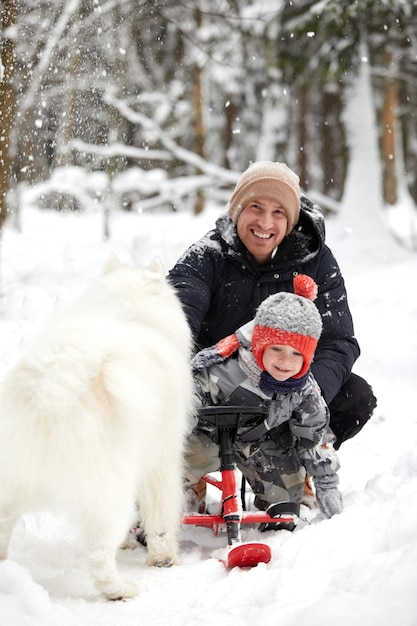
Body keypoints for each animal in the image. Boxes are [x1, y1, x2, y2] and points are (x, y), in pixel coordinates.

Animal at [0, 255, 193, 600]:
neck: (130, 312)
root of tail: (52, 391)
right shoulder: (161, 459)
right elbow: (160, 516)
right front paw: (163, 559)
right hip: (111, 492)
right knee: (100, 554)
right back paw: (120, 590)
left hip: (11, 485)